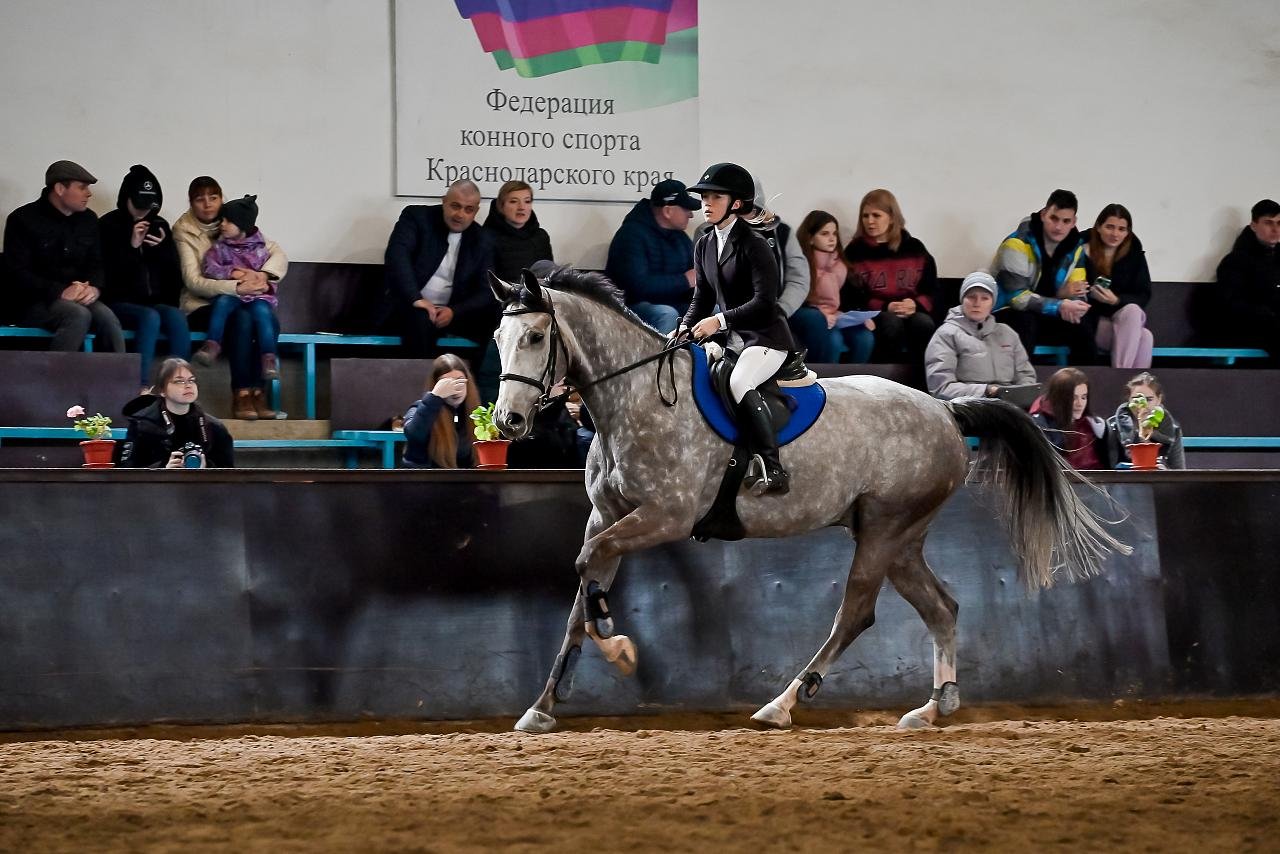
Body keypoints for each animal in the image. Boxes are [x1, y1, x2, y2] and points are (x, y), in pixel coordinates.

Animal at [483, 268, 1126, 737]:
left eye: (535, 337)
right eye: (496, 339)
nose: (509, 423)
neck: (637, 397)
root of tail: (945, 409)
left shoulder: (664, 517)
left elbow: (587, 567)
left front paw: (618, 648)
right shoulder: (609, 515)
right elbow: (581, 588)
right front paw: (543, 706)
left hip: (885, 529)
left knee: (856, 612)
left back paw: (783, 704)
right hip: (899, 537)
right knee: (941, 608)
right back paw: (933, 708)